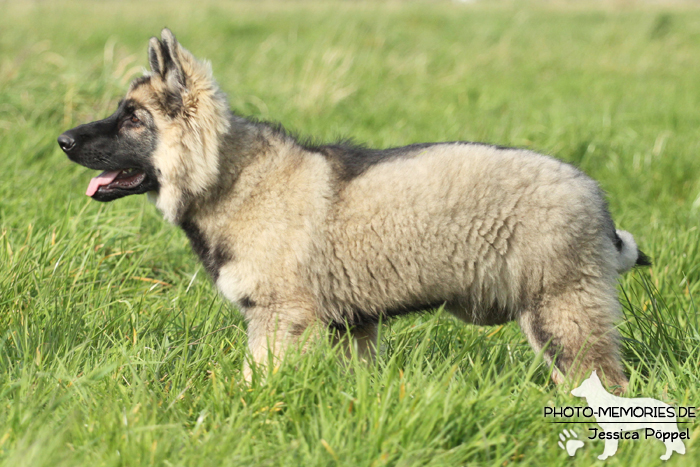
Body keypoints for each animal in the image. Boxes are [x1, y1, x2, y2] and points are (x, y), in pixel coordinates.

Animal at [60, 28, 652, 388]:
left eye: (133, 119)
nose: (62, 140)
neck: (230, 178)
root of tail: (595, 199)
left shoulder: (279, 319)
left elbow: (257, 381)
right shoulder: (354, 327)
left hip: (562, 314)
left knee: (605, 382)